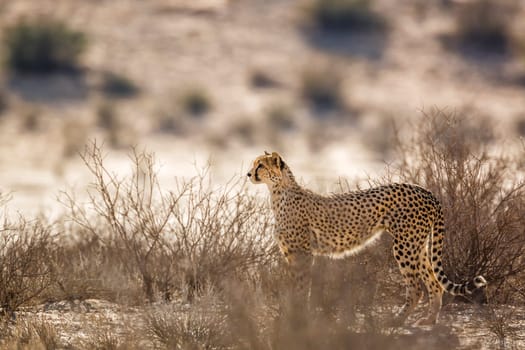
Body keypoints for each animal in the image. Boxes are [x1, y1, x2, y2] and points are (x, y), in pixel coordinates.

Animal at [248, 150, 486, 326]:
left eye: (260, 165)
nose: (249, 174)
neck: (278, 192)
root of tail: (425, 190)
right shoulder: (291, 254)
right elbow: (293, 286)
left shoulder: (303, 254)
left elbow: (301, 287)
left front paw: (297, 317)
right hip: (417, 245)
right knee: (434, 282)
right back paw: (428, 320)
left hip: (405, 246)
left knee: (416, 288)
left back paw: (396, 320)